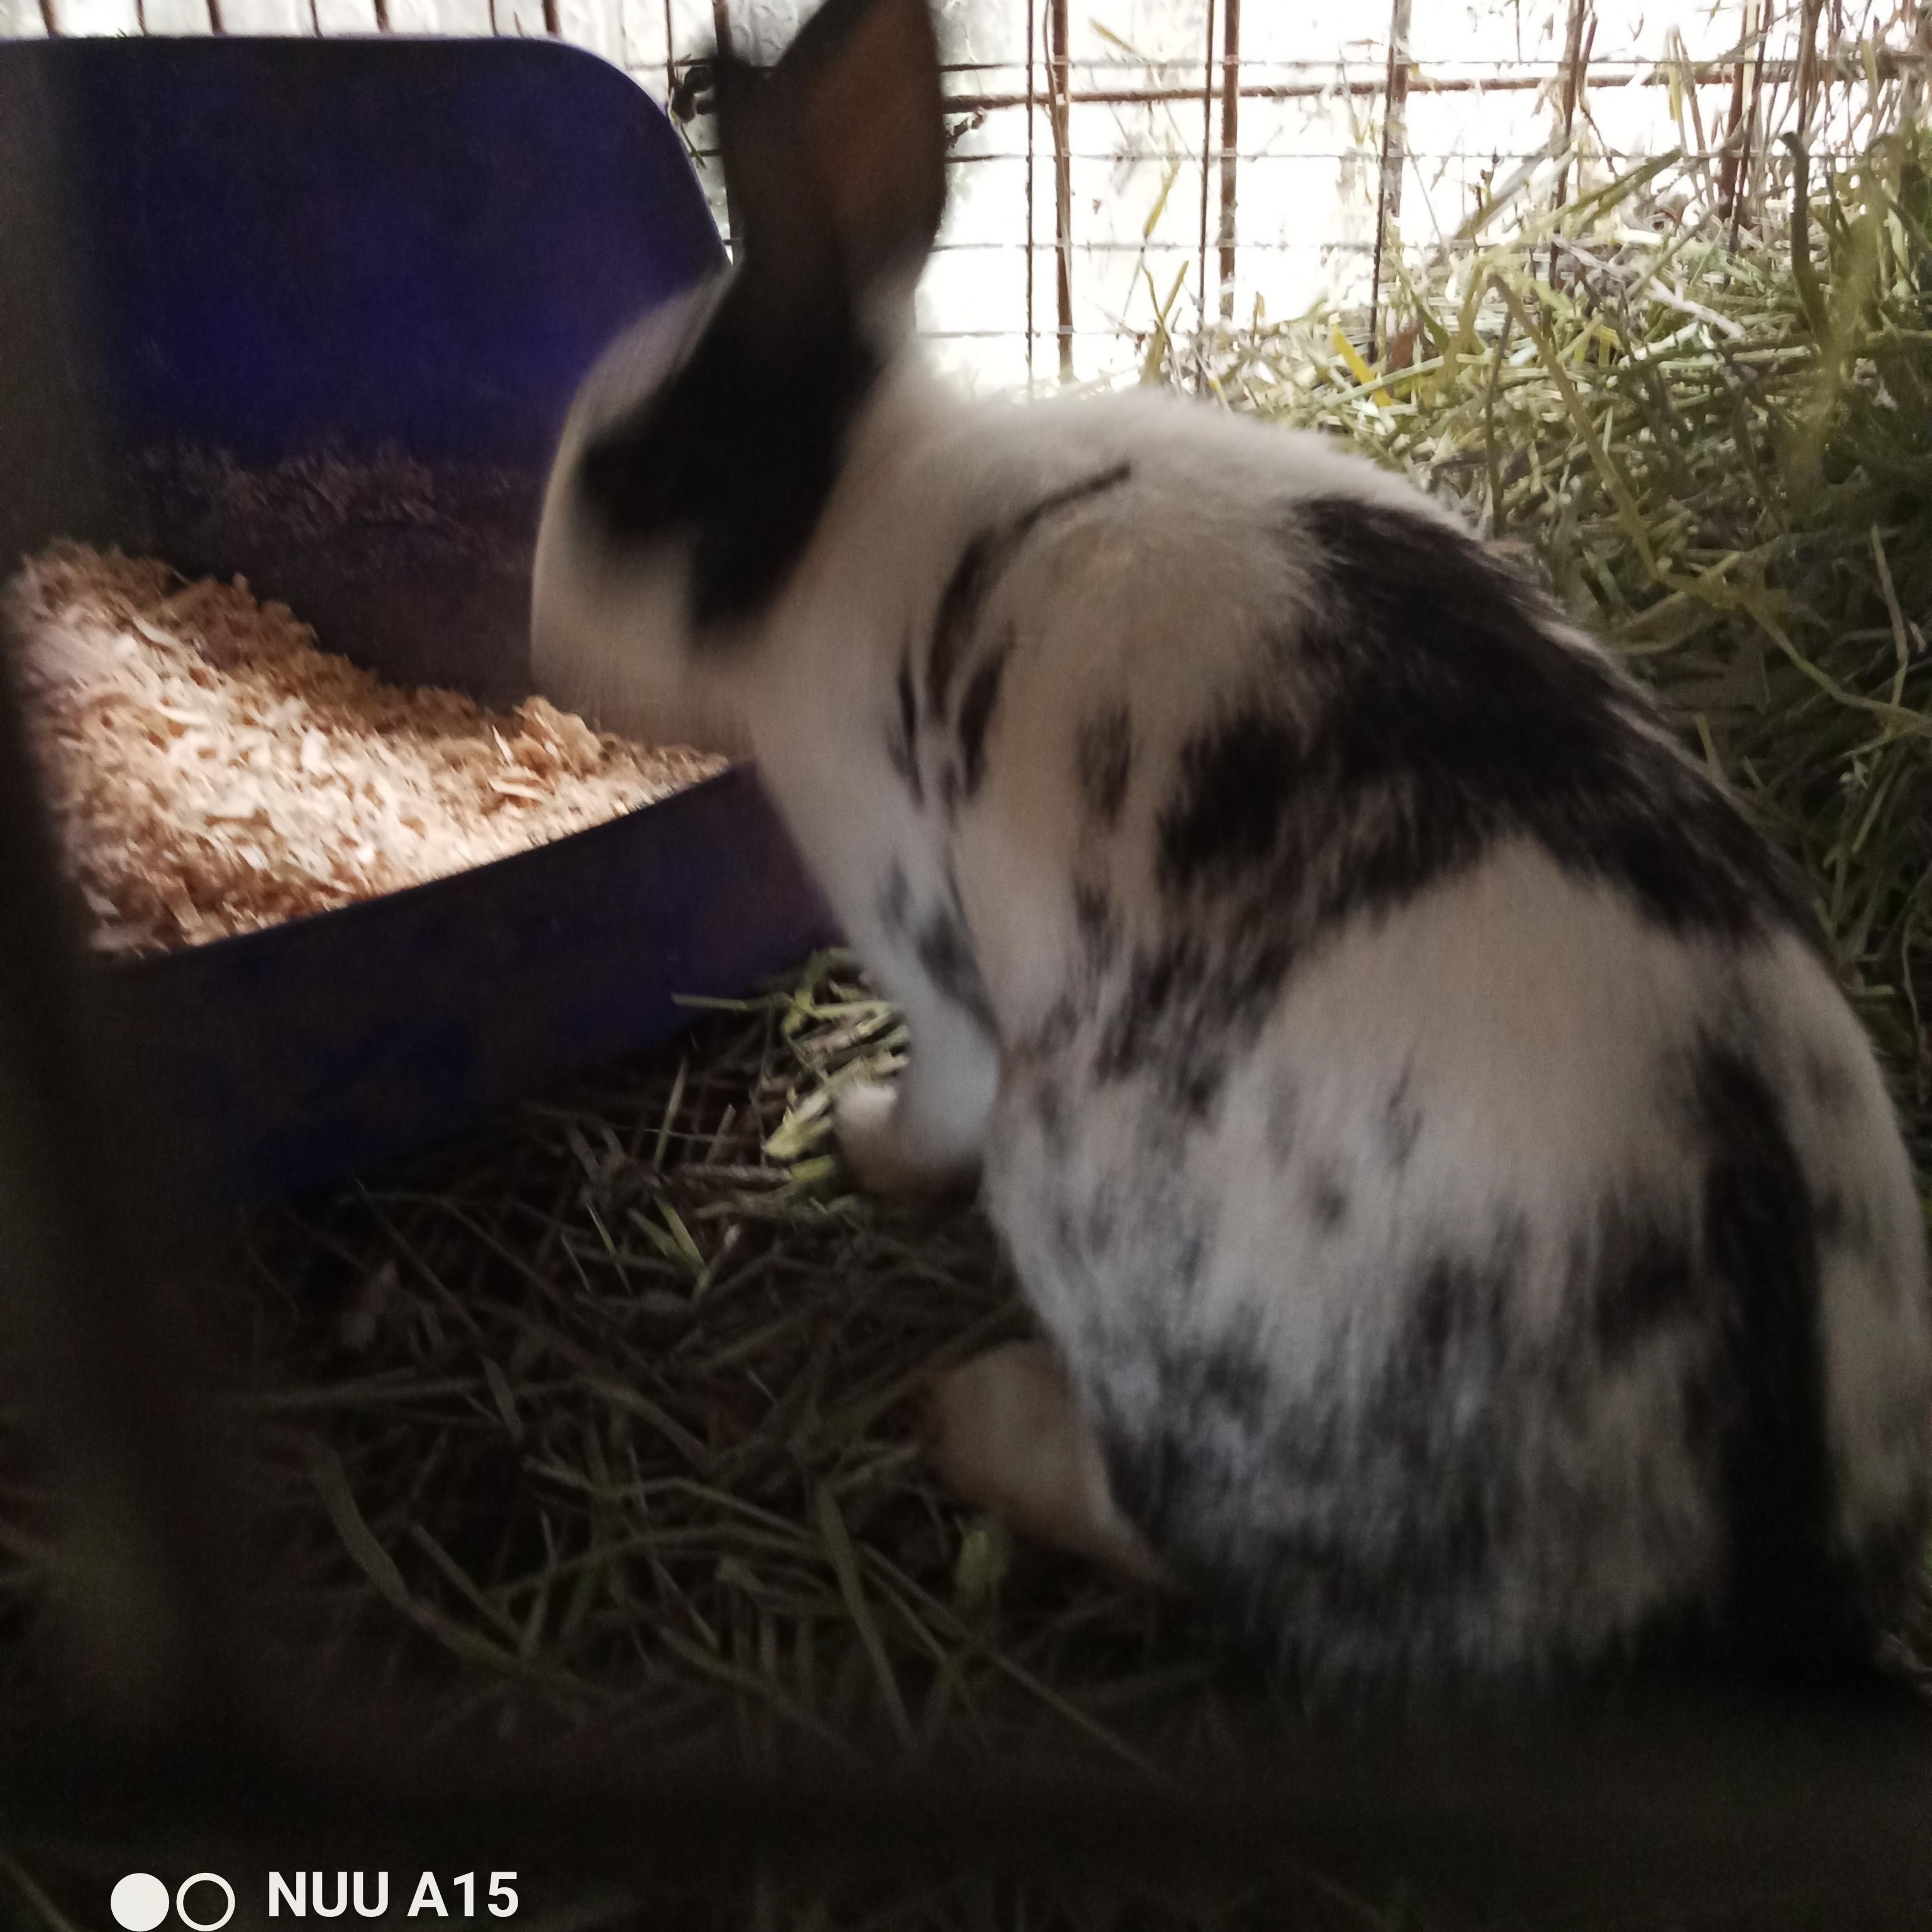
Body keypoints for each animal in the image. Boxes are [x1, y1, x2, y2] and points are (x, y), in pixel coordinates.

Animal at [529, 0, 1932, 1688]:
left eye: (631, 479)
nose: (537, 636)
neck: (848, 514)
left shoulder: (929, 954)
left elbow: (934, 1093)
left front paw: (860, 1137)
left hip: (1084, 1201)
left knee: (1172, 1528)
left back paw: (977, 1414)